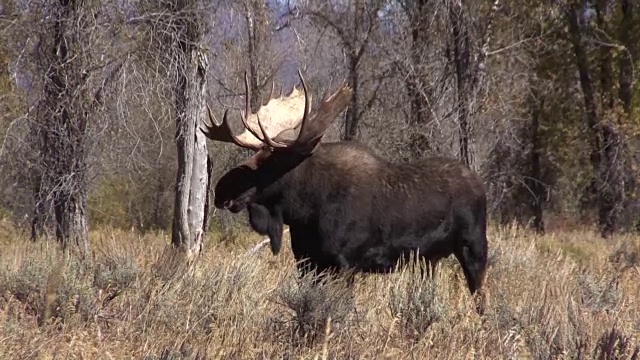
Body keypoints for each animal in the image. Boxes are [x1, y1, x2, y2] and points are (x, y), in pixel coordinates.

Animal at [202, 71, 488, 306]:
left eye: (272, 161)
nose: (221, 190)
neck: (306, 210)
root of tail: (479, 183)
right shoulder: (306, 261)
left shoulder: (346, 263)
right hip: (429, 259)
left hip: (473, 247)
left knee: (481, 299)